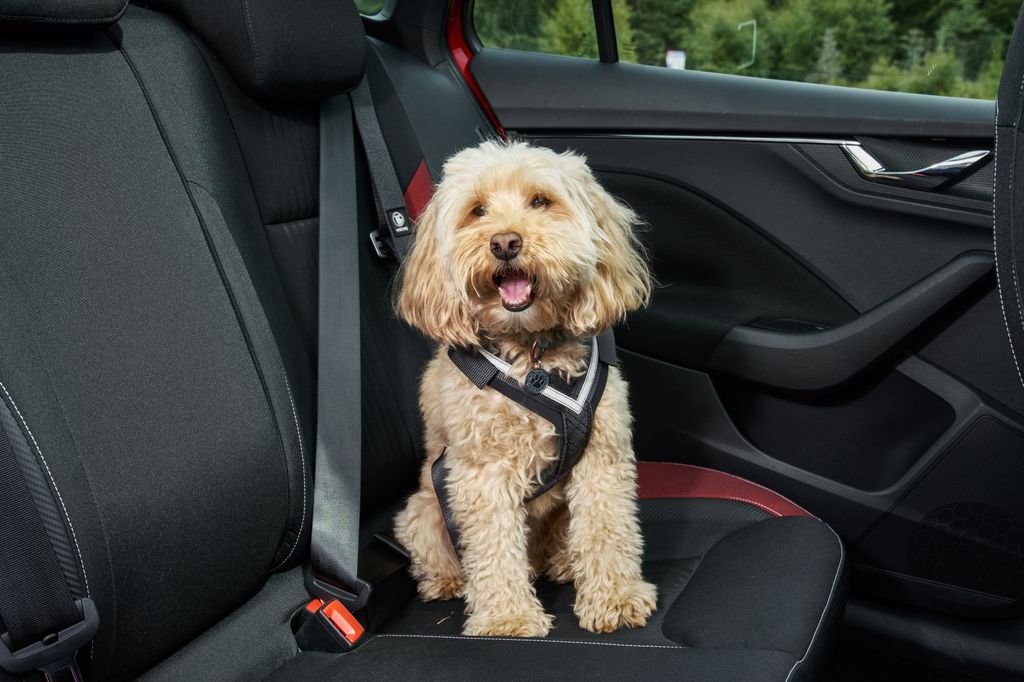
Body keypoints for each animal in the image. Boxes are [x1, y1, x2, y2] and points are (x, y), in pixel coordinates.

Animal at [391, 140, 655, 634]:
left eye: (540, 201)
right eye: (477, 210)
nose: (505, 242)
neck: (532, 360)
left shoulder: (602, 454)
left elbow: (607, 528)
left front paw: (615, 596)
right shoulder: (482, 472)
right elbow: (493, 549)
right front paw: (507, 618)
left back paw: (565, 563)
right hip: (425, 509)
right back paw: (447, 582)